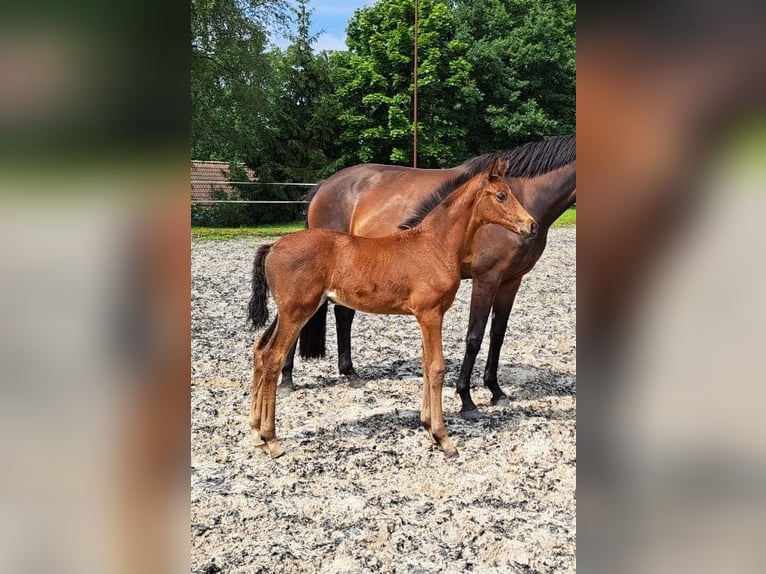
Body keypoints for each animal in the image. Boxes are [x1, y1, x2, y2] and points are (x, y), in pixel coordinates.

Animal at [249, 161, 536, 460]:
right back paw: (271, 439)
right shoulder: (431, 313)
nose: (532, 225)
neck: (435, 244)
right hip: (296, 312)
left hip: (289, 312)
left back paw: (256, 433)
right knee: (273, 357)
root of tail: (273, 246)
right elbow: (436, 368)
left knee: (259, 350)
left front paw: (428, 427)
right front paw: (443, 438)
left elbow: (425, 365)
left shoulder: (425, 317)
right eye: (501, 195)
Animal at [282, 137, 576, 420]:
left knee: (343, 315)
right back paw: (286, 379)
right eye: (502, 196)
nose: (530, 226)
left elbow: (497, 334)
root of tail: (323, 186)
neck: (529, 194)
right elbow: (474, 337)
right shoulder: (486, 278)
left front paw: (495, 390)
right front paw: (466, 399)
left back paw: (349, 373)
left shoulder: (511, 281)